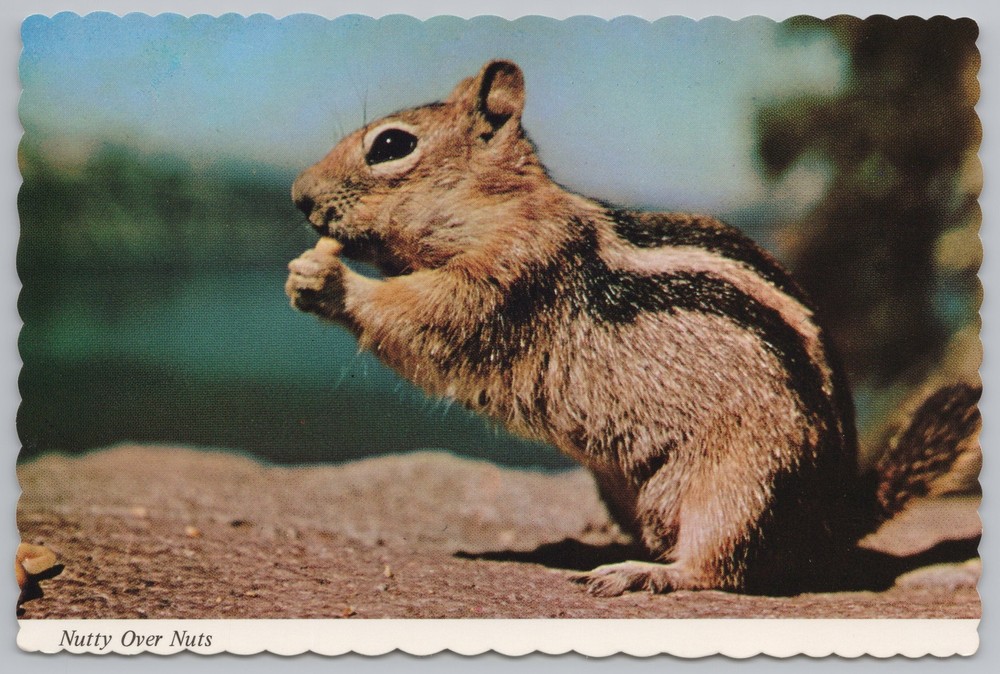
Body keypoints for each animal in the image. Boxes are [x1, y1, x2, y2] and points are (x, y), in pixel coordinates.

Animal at [285, 60, 981, 596]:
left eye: (391, 146)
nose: (297, 196)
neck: (506, 209)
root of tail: (833, 521)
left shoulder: (507, 280)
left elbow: (427, 317)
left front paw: (329, 280)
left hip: (739, 486)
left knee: (721, 568)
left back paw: (642, 573)